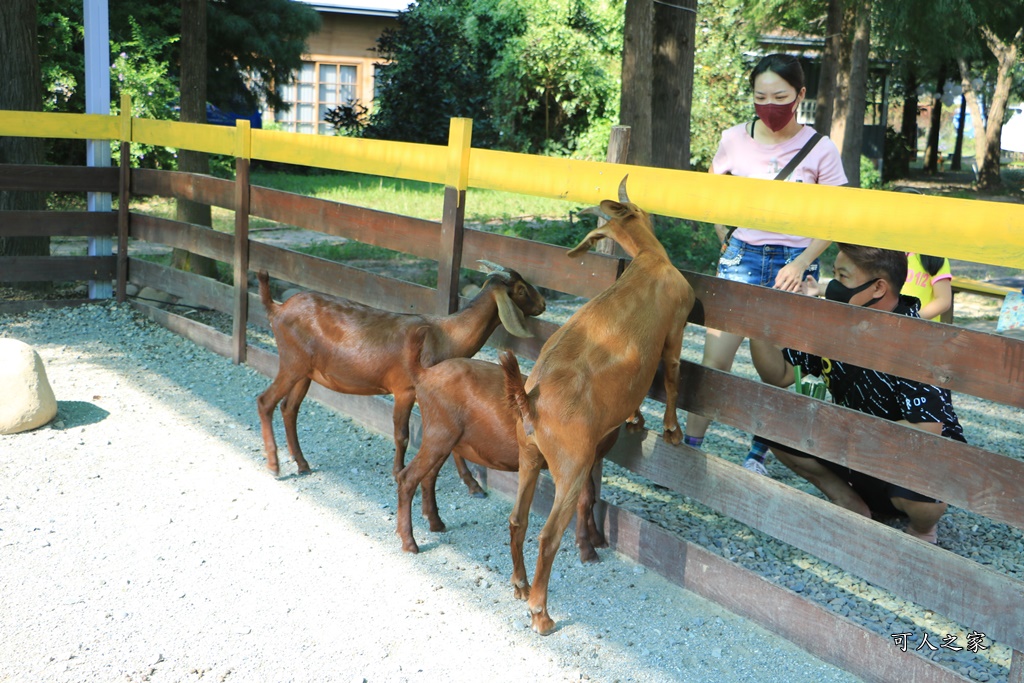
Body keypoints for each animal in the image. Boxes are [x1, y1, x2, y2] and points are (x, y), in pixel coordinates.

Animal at [252, 264, 548, 479]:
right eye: (521, 289)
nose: (543, 304)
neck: (445, 335)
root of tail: (276, 308)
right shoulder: (406, 388)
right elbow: (402, 434)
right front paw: (398, 471)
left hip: (306, 371)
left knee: (289, 408)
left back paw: (302, 464)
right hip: (291, 362)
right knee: (265, 401)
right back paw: (275, 466)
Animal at [391, 327, 614, 561]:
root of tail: (423, 373)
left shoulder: (589, 460)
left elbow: (590, 497)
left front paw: (597, 539)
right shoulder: (576, 459)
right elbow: (583, 500)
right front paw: (587, 549)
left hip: (443, 437)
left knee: (428, 476)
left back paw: (436, 523)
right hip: (439, 432)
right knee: (408, 478)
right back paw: (409, 541)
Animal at [497, 178, 696, 634]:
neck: (648, 260)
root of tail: (530, 400)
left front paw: (637, 420)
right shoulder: (677, 324)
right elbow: (672, 375)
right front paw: (672, 431)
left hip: (528, 454)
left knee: (518, 519)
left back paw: (518, 586)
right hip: (569, 464)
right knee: (547, 534)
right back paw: (541, 613)